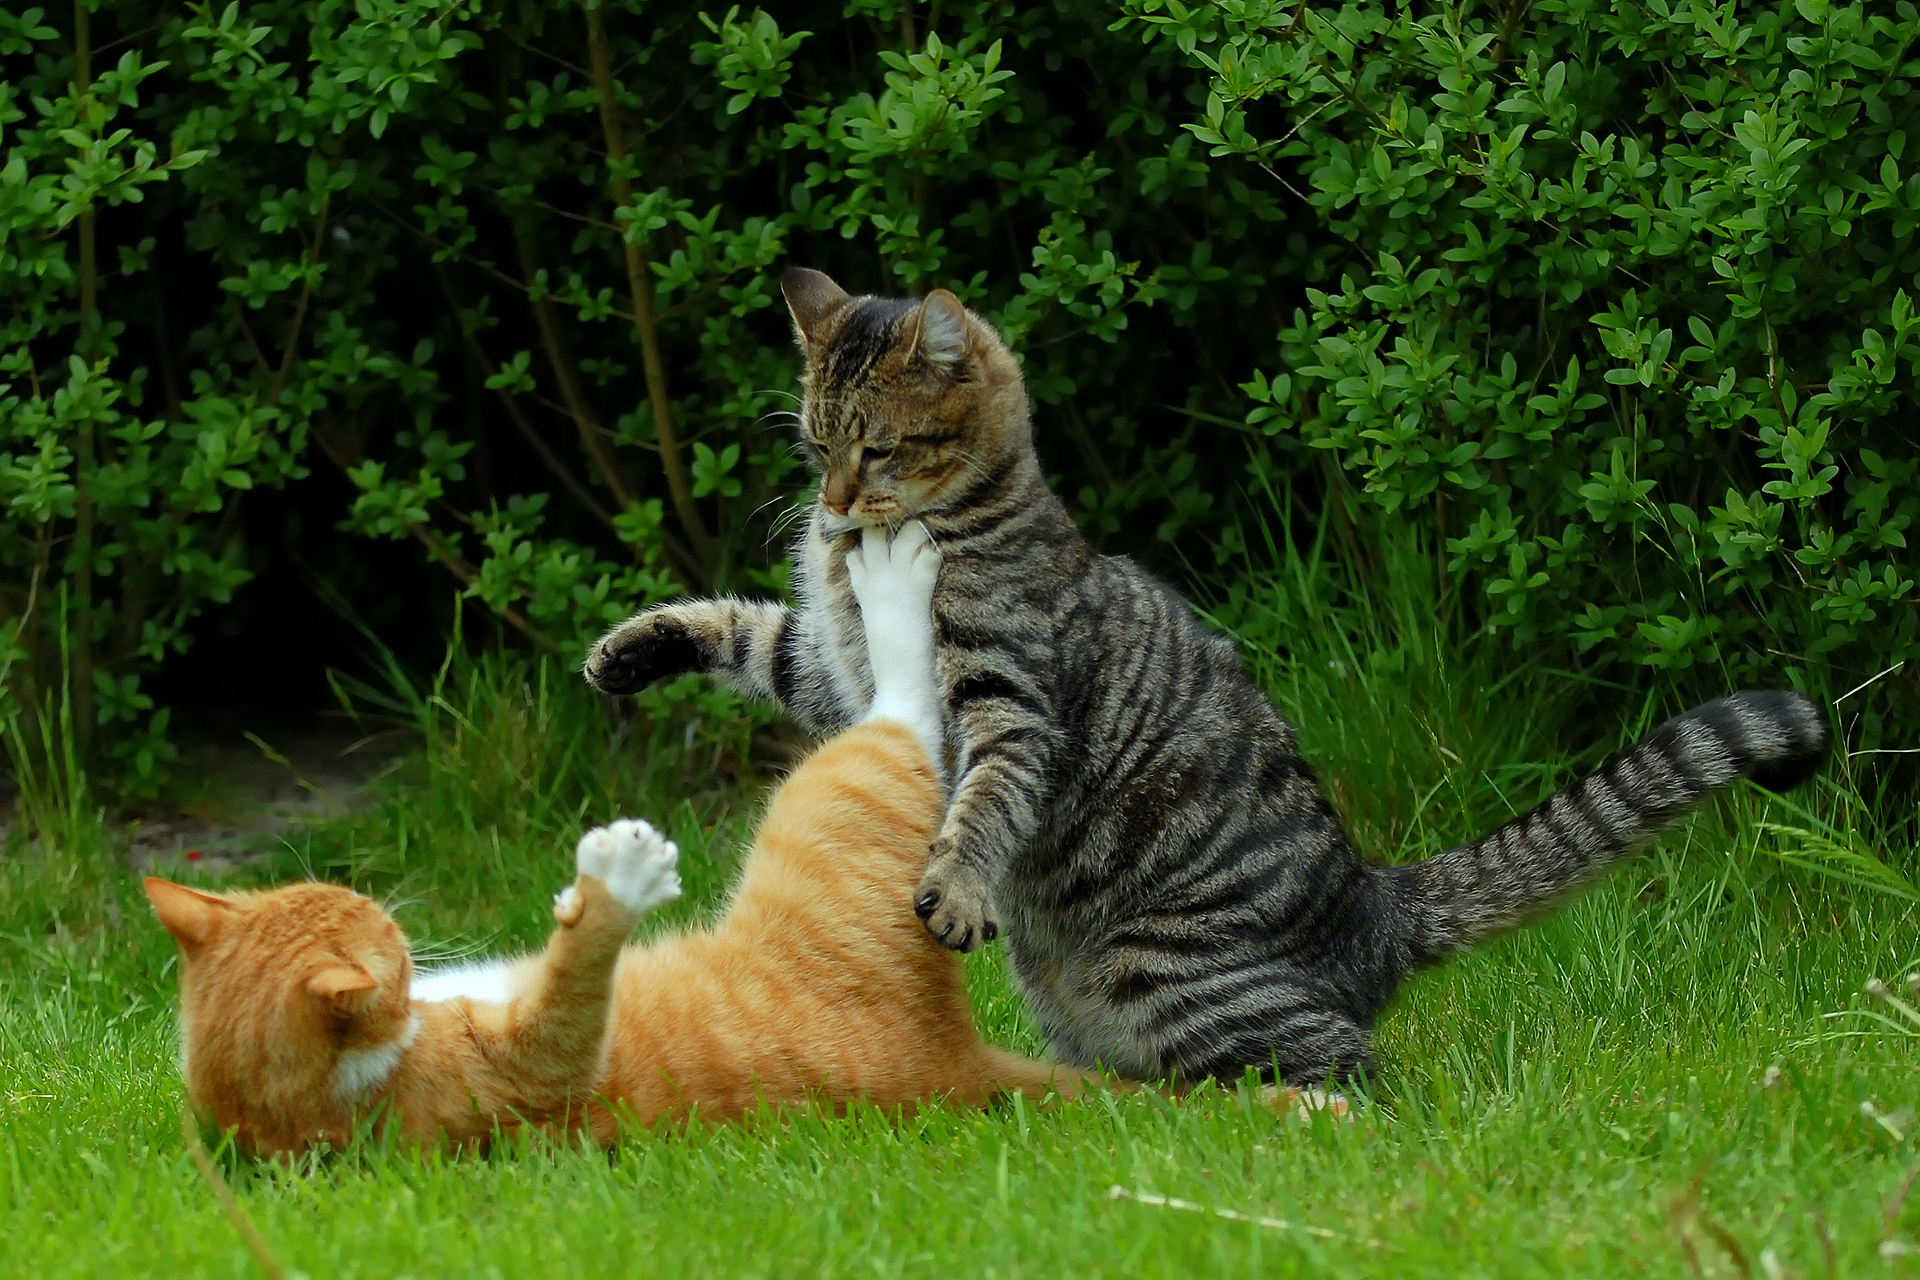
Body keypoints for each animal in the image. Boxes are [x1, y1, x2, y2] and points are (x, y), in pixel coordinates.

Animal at [145, 525, 1098, 1159]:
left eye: (345, 901)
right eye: (378, 936)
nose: (388, 911)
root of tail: (955, 1062)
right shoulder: (520, 1074)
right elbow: (567, 1009)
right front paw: (617, 879)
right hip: (844, 789)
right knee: (903, 706)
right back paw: (890, 579)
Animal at [579, 268, 1827, 1082]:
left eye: (875, 449)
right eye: (816, 444)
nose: (833, 503)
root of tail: (1375, 901)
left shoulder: (1002, 699)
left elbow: (981, 802)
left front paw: (955, 884)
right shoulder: (832, 672)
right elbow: (749, 631)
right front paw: (630, 645)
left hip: (1172, 970)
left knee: (1356, 1068)